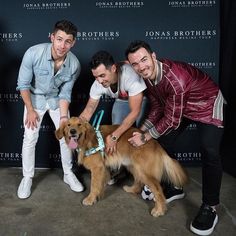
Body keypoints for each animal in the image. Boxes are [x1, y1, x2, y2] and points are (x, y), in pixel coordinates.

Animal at [55, 117, 188, 217]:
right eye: (68, 125)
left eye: (79, 124)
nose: (72, 131)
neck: (87, 140)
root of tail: (156, 144)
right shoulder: (103, 168)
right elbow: (100, 184)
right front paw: (99, 194)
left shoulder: (97, 168)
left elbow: (94, 186)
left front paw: (90, 199)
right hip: (134, 166)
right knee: (139, 181)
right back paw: (132, 189)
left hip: (145, 171)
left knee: (158, 190)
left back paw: (159, 210)